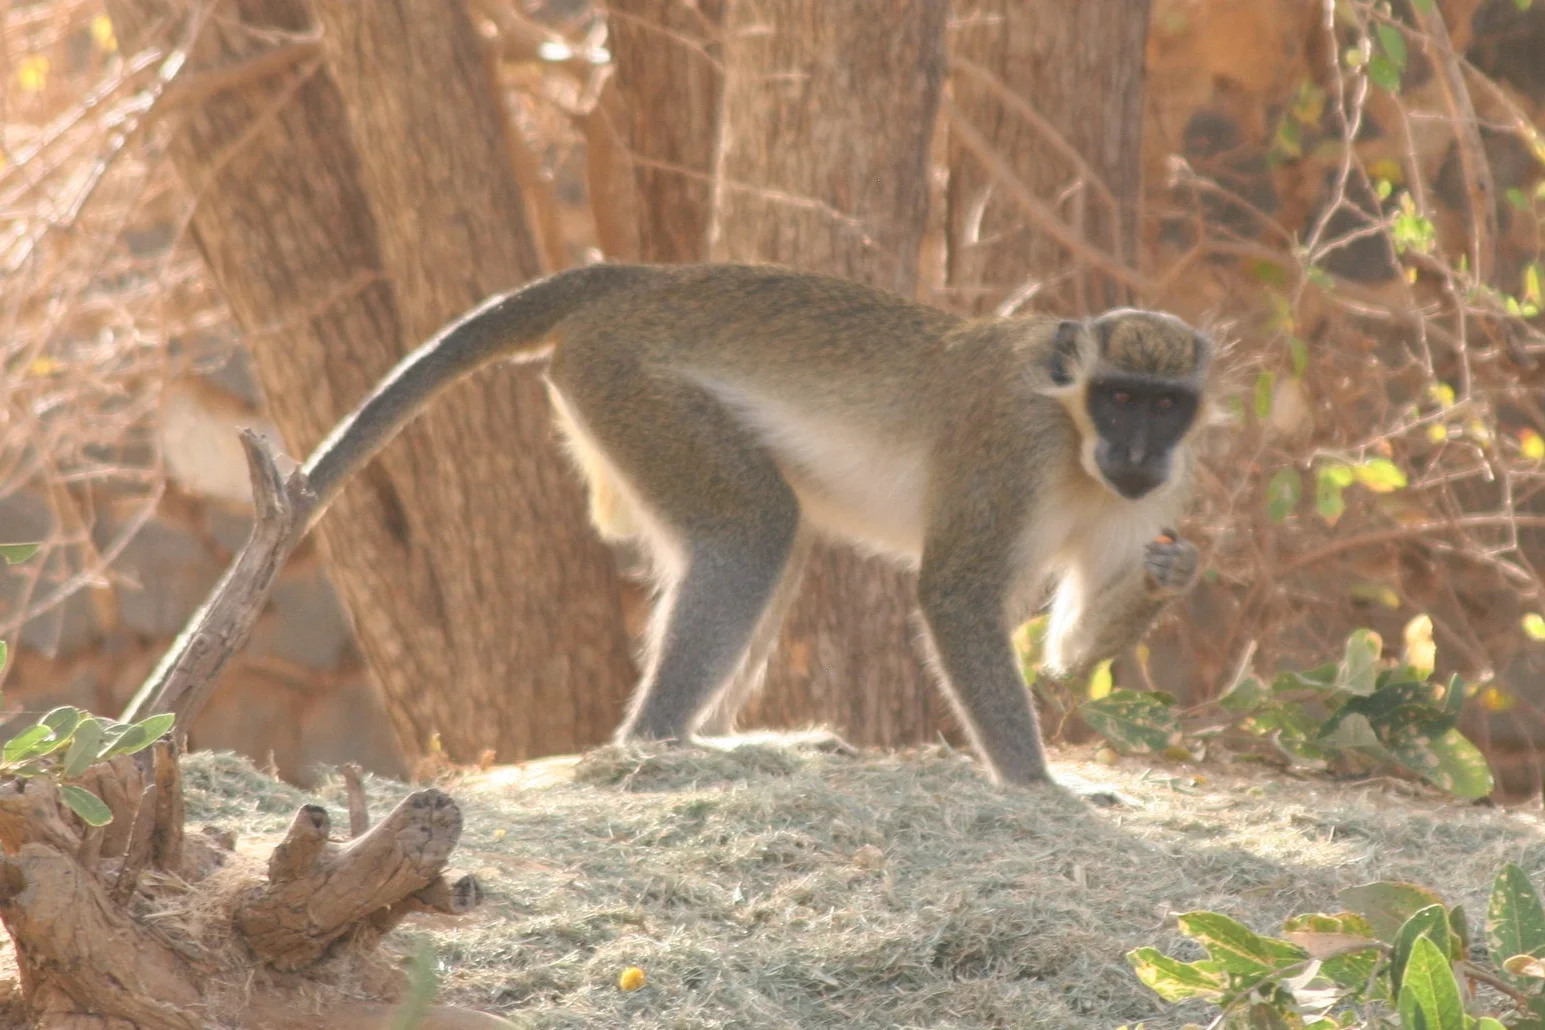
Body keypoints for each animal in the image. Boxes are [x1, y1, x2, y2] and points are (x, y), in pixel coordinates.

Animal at [300, 262, 1212, 787]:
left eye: (1164, 406)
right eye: (1119, 396)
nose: (1137, 450)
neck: (1072, 441)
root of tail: (634, 279)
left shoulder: (1154, 492)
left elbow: (1063, 657)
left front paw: (1170, 578)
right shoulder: (1009, 446)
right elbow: (955, 596)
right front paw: (1037, 786)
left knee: (781, 533)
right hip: (630, 385)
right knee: (754, 531)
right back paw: (665, 743)